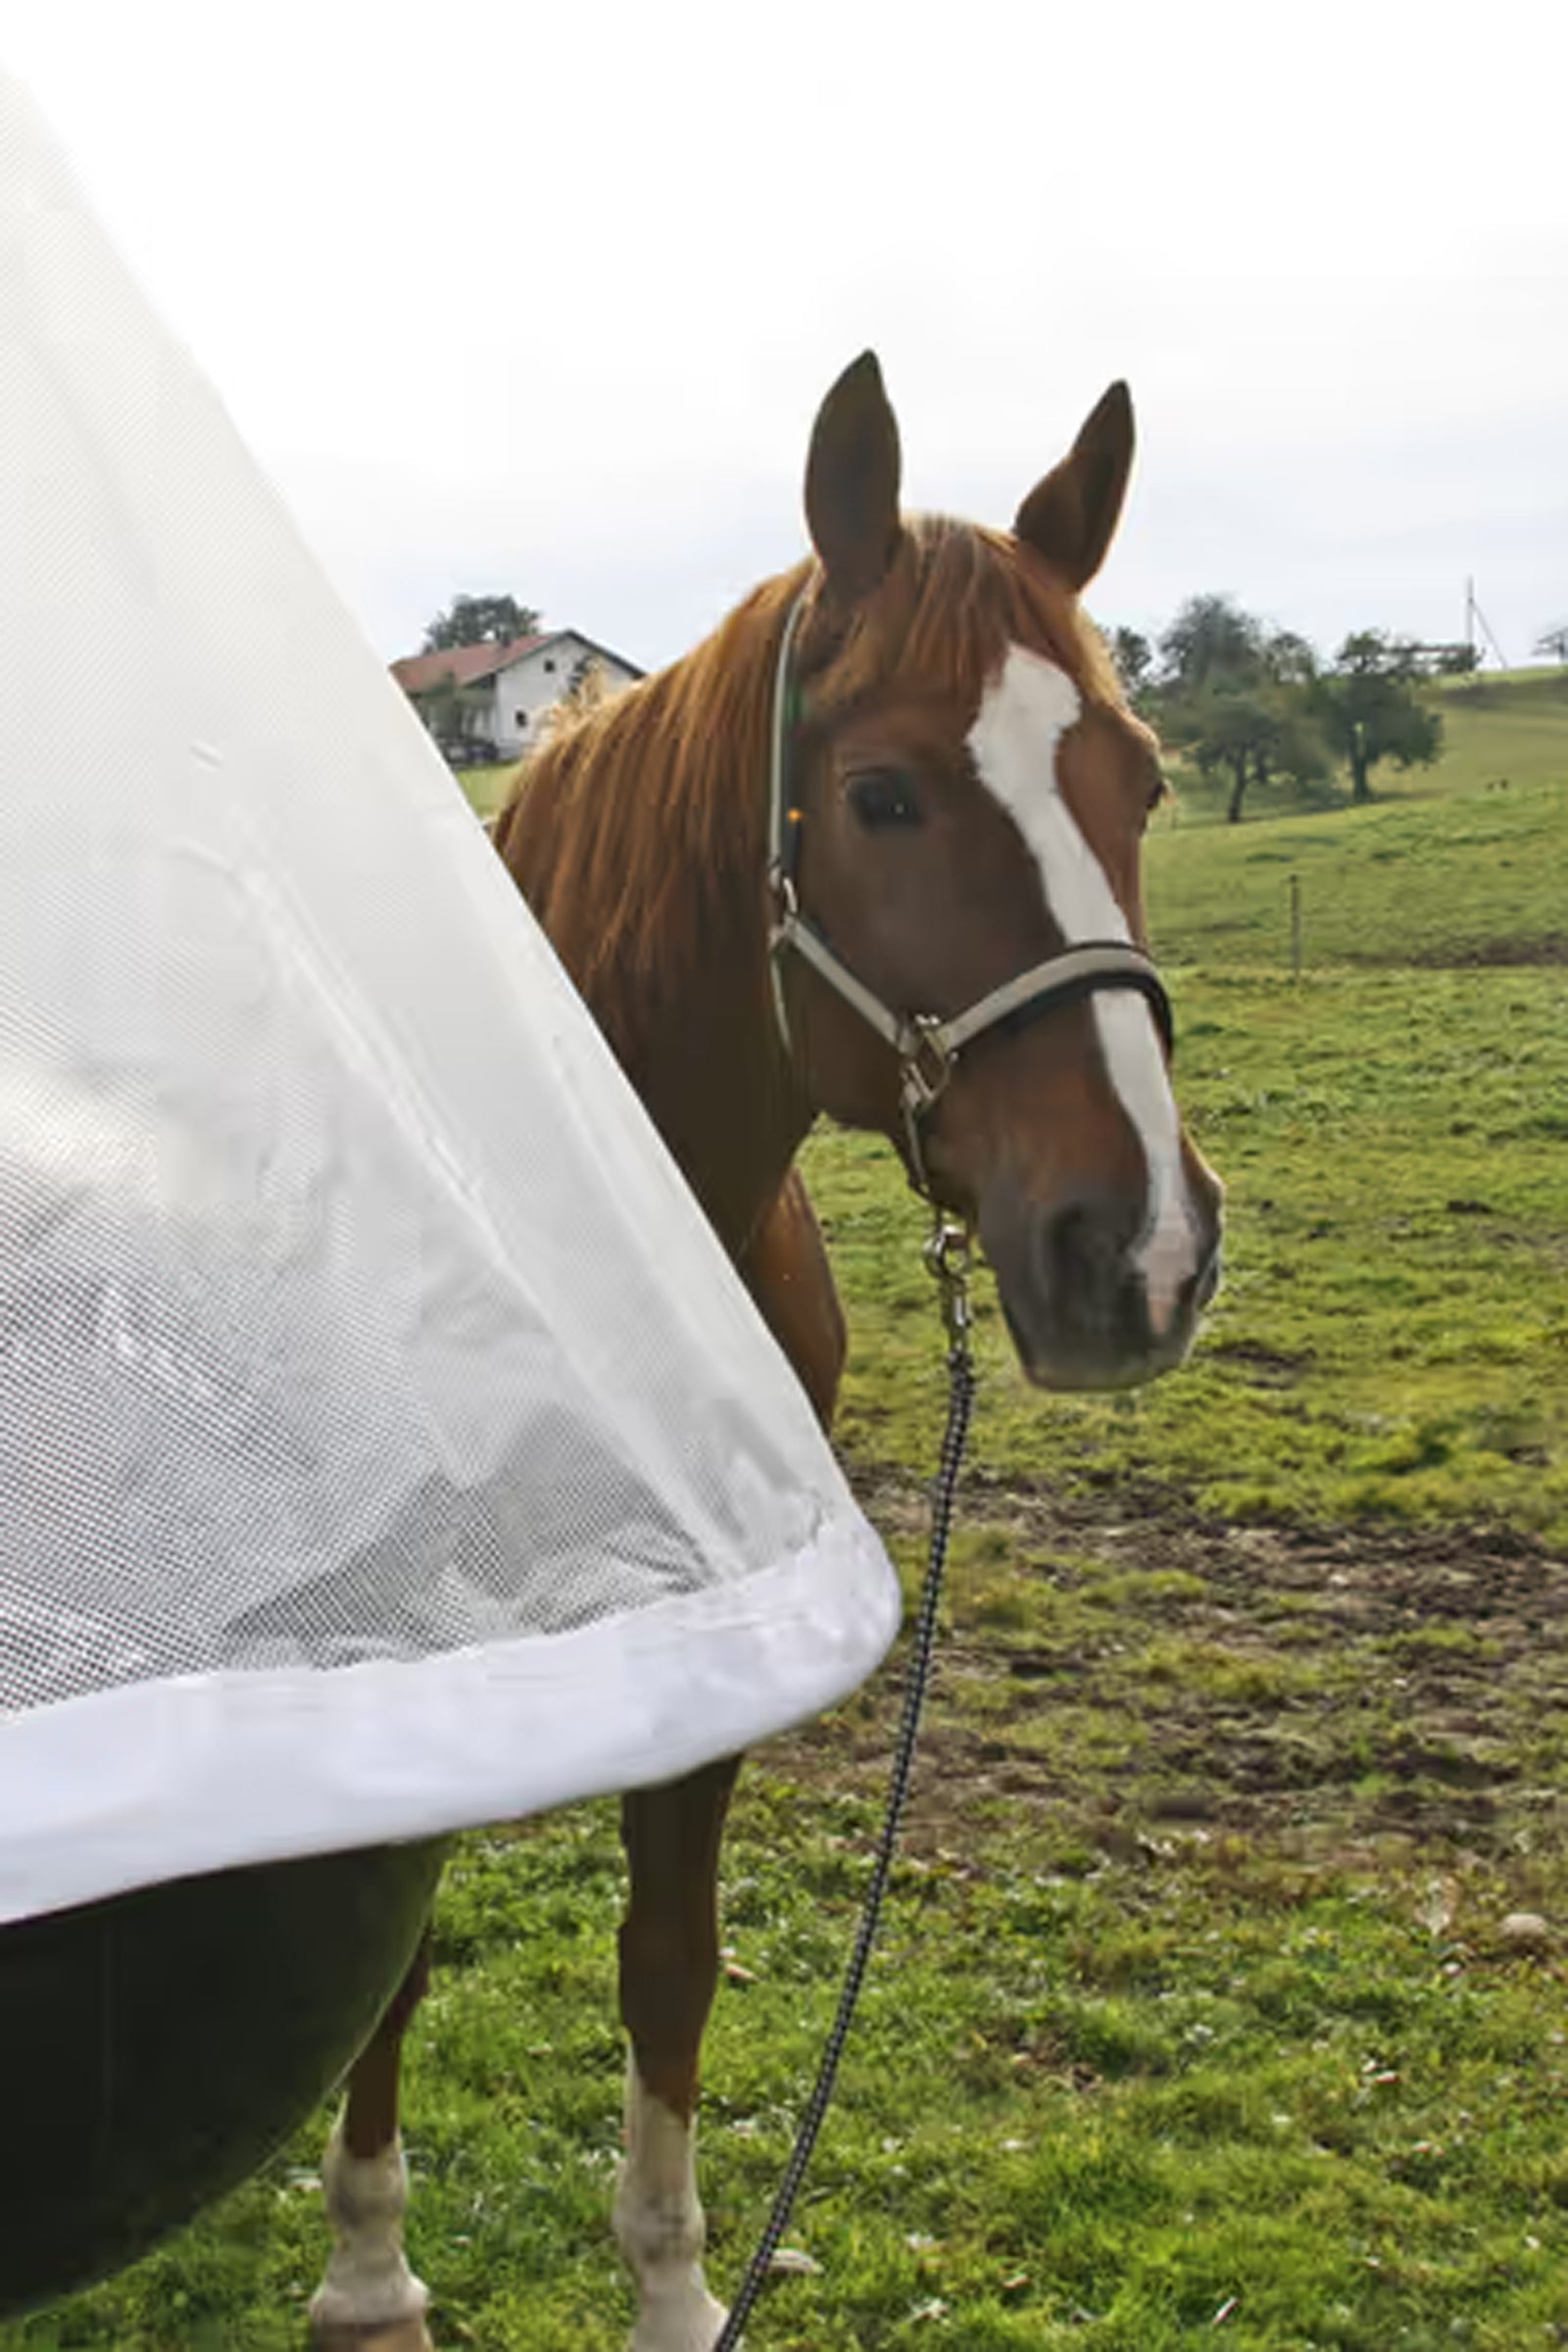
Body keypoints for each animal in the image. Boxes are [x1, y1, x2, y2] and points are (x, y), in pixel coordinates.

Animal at [308, 353, 1224, 2352]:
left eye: (1142, 776)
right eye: (879, 795)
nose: (1142, 1251)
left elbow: (670, 1964)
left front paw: (670, 2287)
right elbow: (387, 1963)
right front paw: (369, 2272)